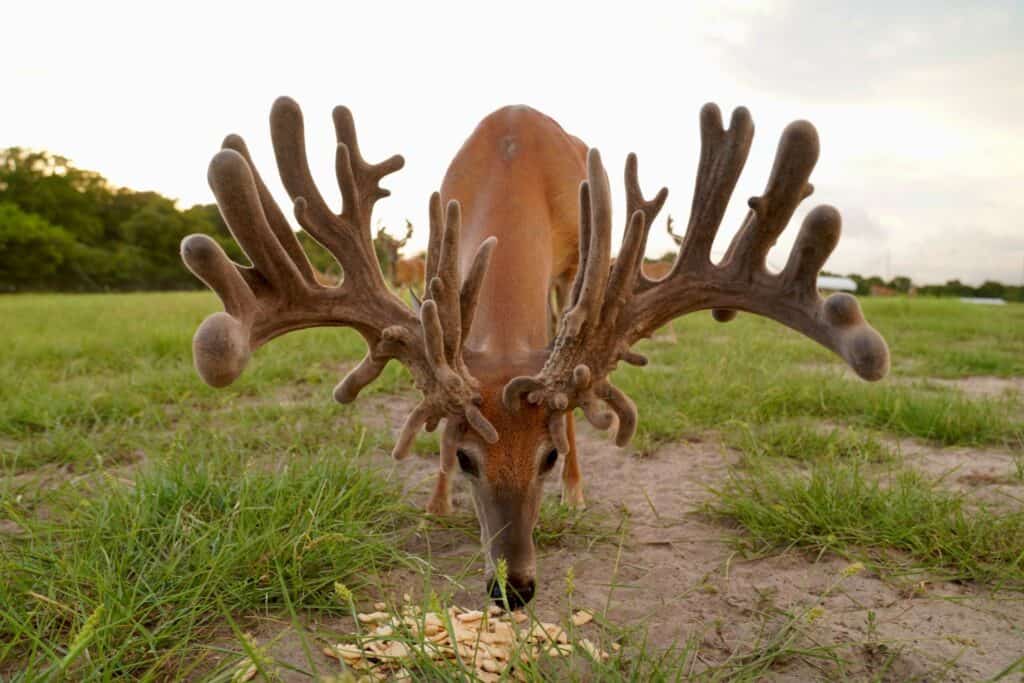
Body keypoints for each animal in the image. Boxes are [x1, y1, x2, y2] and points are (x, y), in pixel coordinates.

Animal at [180, 97, 889, 609]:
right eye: (465, 457)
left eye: (544, 457)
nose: (512, 589)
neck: (512, 161)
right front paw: (435, 501)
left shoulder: (574, 265)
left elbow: (572, 382)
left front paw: (572, 481)